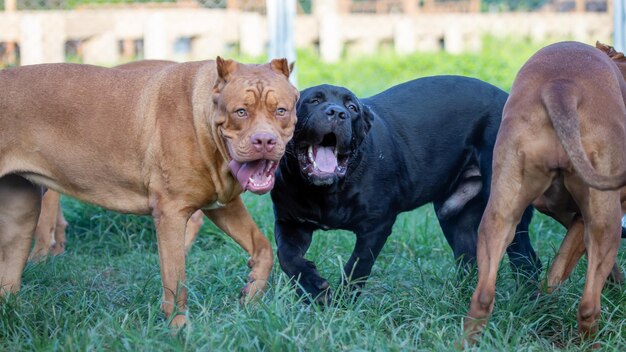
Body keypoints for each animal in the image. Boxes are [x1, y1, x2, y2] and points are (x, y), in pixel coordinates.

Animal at [0, 57, 298, 328]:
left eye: (281, 111)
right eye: (241, 112)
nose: (264, 140)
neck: (201, 118)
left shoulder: (223, 205)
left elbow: (263, 247)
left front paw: (252, 293)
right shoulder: (171, 214)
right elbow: (176, 282)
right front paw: (179, 329)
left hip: (21, 215)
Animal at [272, 76, 540, 300]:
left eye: (352, 108)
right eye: (313, 101)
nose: (337, 112)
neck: (325, 193)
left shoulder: (376, 226)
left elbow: (357, 267)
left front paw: (342, 303)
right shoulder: (290, 222)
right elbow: (287, 257)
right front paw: (313, 288)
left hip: (505, 212)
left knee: (526, 261)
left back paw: (526, 304)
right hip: (454, 216)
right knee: (469, 259)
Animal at [460, 42, 624, 346]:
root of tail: (561, 86)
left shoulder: (566, 212)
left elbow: (560, 264)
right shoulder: (590, 216)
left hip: (500, 216)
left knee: (483, 295)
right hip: (606, 224)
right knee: (588, 305)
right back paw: (592, 344)